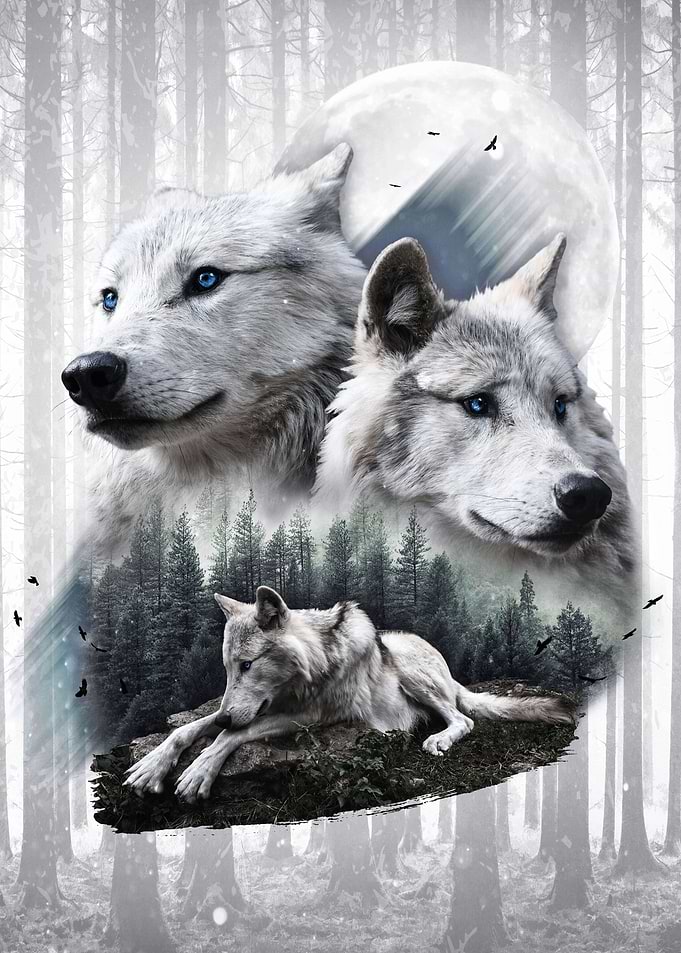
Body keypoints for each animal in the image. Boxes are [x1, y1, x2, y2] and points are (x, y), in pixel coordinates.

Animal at [124, 586, 574, 804]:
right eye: (228, 669)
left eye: (247, 665)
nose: (224, 714)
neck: (316, 661)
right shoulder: (255, 709)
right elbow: (191, 729)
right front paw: (151, 766)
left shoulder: (316, 715)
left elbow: (227, 735)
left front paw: (198, 772)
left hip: (410, 669)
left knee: (463, 719)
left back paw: (438, 739)